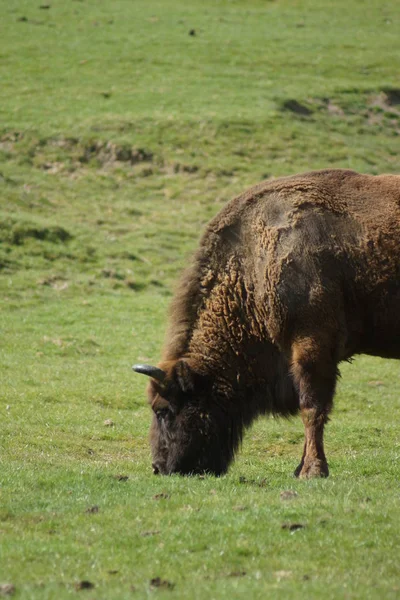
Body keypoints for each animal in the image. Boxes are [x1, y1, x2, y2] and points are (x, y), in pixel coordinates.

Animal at [134, 169, 400, 478]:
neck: (253, 263)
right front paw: (300, 468)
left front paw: (313, 470)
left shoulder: (311, 347)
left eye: (163, 409)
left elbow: (312, 409)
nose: (158, 467)